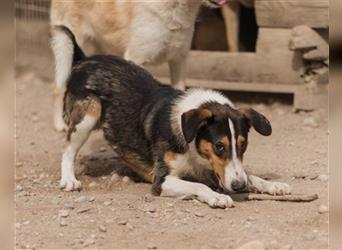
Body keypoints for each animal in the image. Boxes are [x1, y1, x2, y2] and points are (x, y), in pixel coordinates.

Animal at [50, 0, 230, 132]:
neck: (174, 6)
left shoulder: (178, 60)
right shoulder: (136, 58)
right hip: (67, 47)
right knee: (57, 87)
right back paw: (60, 124)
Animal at [51, 25, 292, 209]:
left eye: (243, 145)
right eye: (219, 146)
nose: (238, 187)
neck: (192, 146)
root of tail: (85, 59)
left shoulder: (217, 170)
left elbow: (249, 174)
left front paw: (273, 185)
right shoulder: (162, 180)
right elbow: (199, 186)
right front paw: (217, 197)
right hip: (88, 115)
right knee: (68, 150)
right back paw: (69, 179)